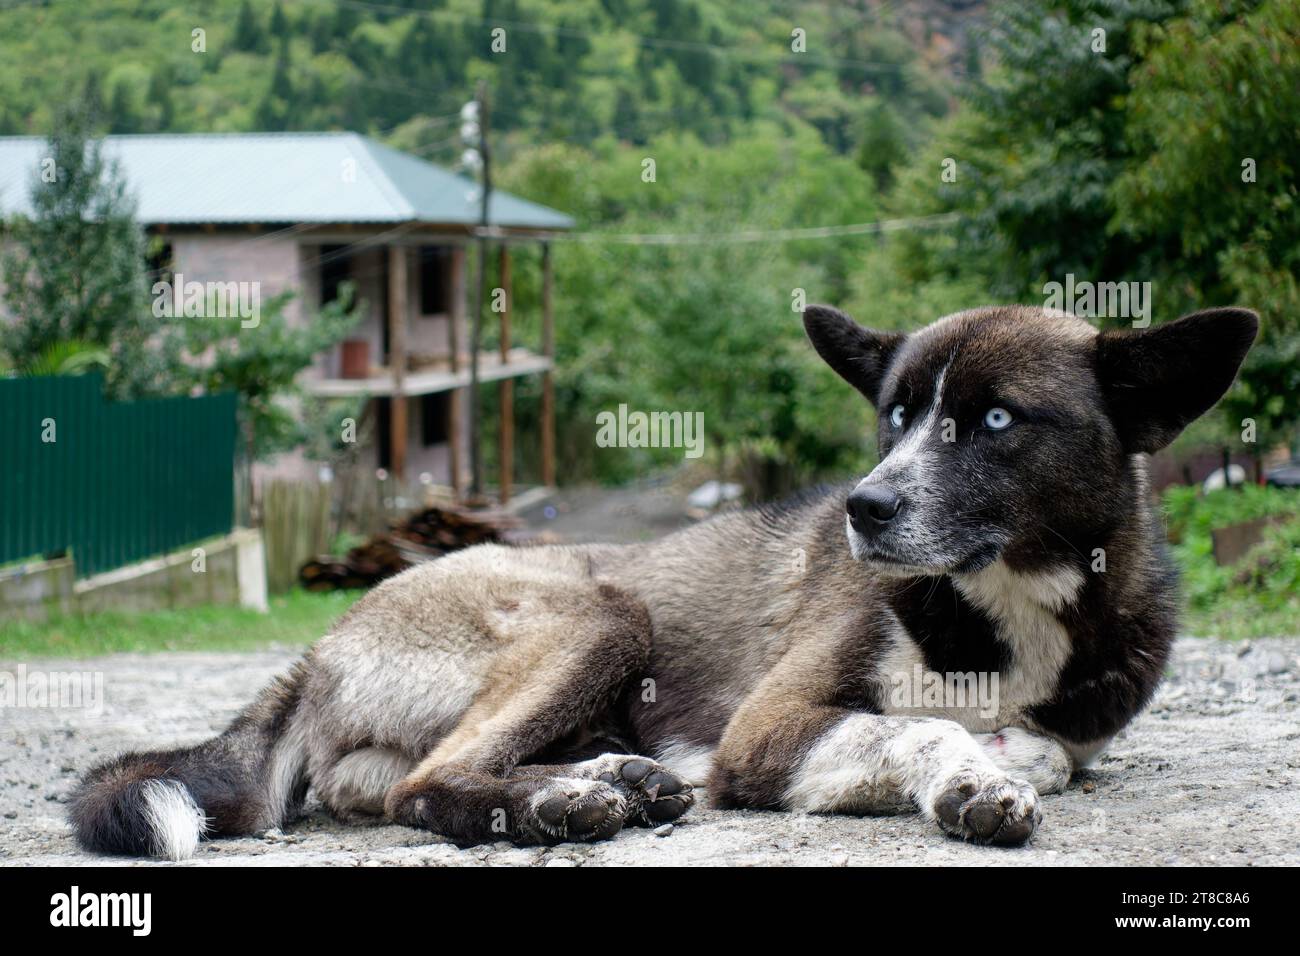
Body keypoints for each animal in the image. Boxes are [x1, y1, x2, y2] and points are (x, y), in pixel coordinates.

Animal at [71, 304, 1258, 858]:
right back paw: (562, 805)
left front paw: (1009, 757)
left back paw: (613, 778)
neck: (1001, 605)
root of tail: (317, 650)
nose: (864, 508)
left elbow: (1049, 745)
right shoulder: (767, 732)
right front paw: (973, 776)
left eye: (997, 419)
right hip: (599, 610)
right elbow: (921, 726)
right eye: (895, 416)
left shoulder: (1078, 718)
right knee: (427, 785)